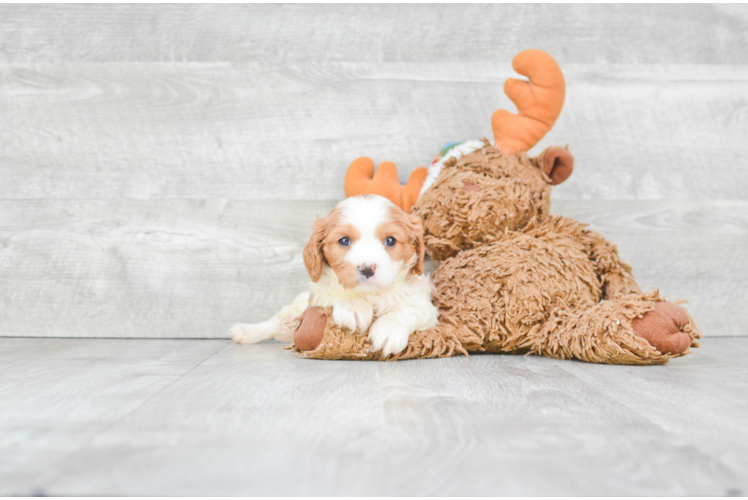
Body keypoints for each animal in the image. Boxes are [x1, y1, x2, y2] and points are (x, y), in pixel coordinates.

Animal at [228, 194, 438, 356]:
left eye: (391, 241)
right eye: (344, 241)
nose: (367, 268)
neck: (370, 294)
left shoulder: (426, 308)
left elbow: (408, 309)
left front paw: (389, 331)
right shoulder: (316, 294)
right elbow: (334, 290)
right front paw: (354, 306)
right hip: (297, 303)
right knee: (277, 318)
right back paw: (246, 331)